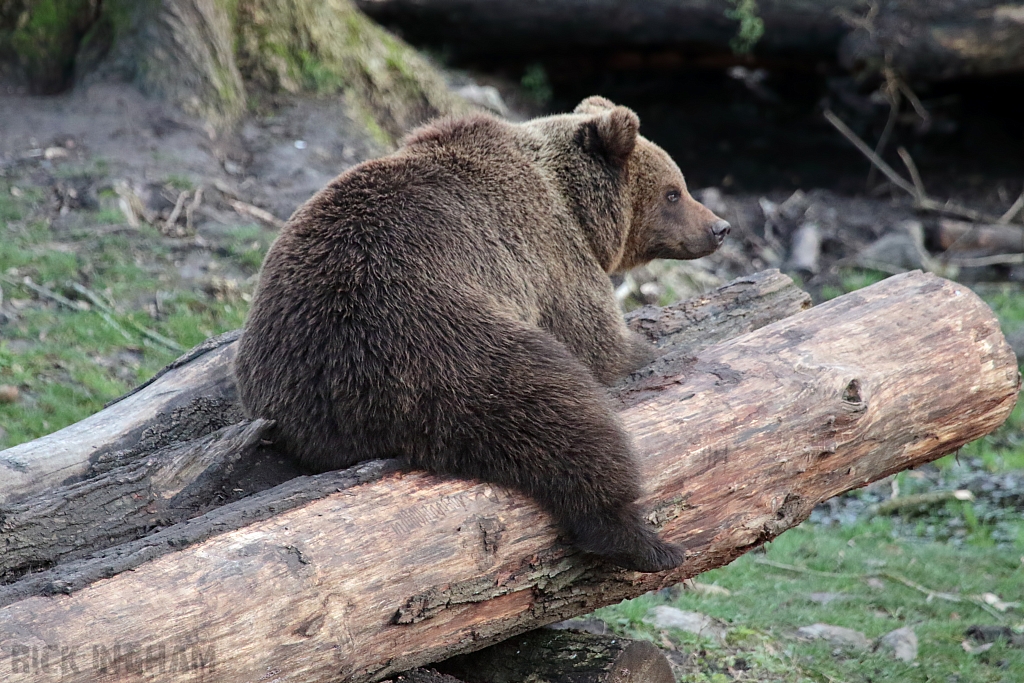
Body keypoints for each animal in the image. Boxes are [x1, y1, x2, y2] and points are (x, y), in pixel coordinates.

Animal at [234, 96, 729, 573]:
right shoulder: (551, 258)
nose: (719, 228)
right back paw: (646, 542)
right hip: (441, 344)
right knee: (565, 415)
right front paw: (648, 345)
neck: (575, 207)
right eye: (673, 192)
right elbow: (599, 343)